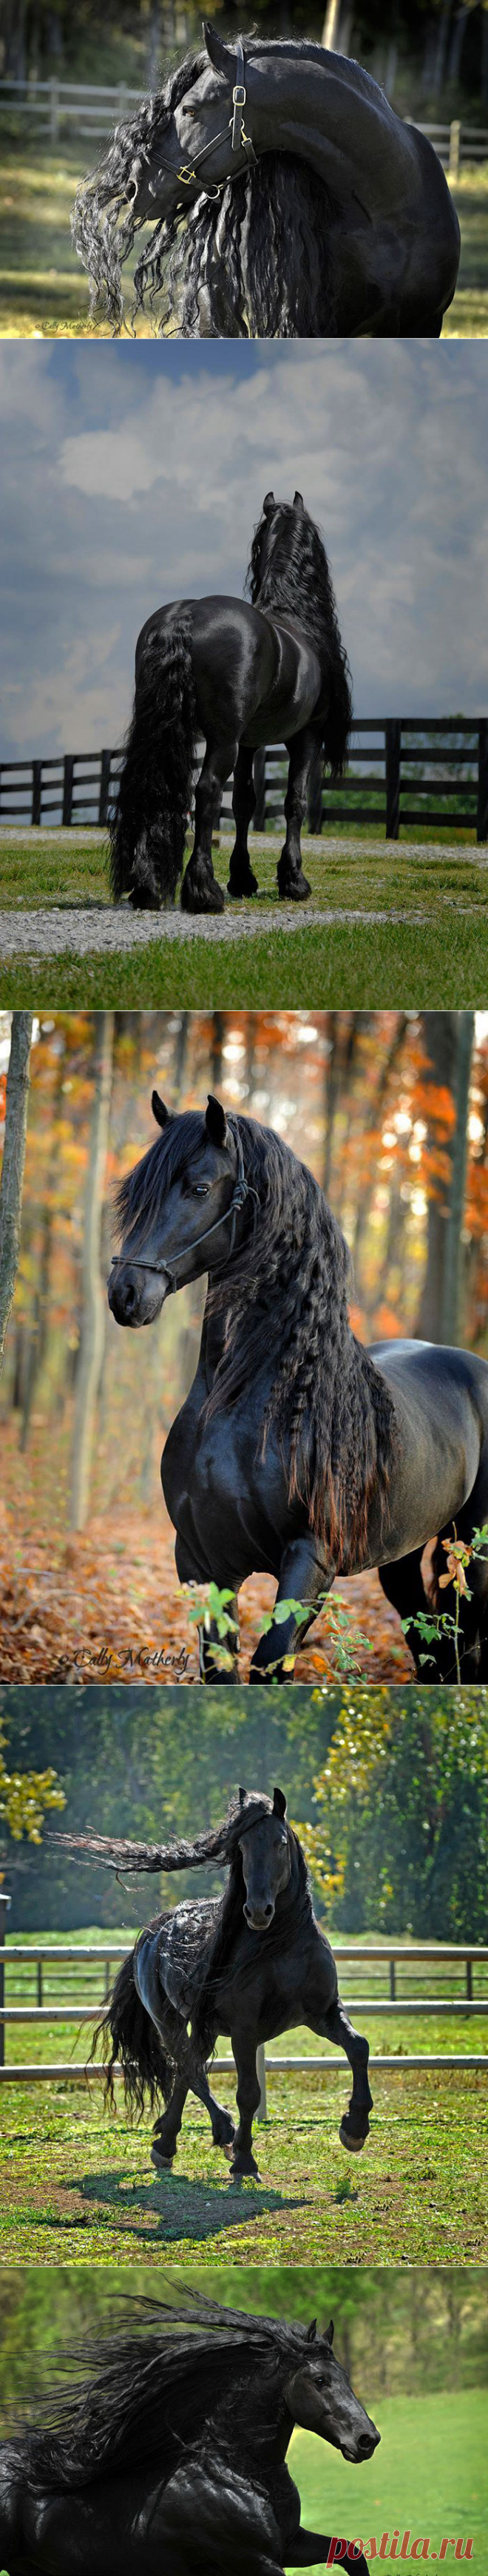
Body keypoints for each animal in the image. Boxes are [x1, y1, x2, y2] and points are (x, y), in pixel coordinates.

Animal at [0, 2285, 380, 2575]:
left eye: (345, 2375)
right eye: (320, 2380)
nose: (368, 2440)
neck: (237, 2473)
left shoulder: (290, 2544)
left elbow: (352, 2554)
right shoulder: (253, 2560)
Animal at [58, 1786, 373, 2180]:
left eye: (281, 1843)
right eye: (242, 1848)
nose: (258, 1911)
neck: (281, 1948)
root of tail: (155, 1930)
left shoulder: (323, 2013)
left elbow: (359, 2047)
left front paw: (354, 2129)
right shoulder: (244, 2030)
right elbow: (248, 2094)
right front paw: (245, 2161)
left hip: (203, 2027)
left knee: (185, 2072)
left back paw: (177, 2141)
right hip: (169, 2022)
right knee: (189, 2070)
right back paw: (203, 2137)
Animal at [106, 489, 352, 916]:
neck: (295, 618)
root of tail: (185, 616)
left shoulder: (250, 743)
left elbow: (244, 803)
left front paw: (243, 878)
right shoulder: (306, 737)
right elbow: (295, 802)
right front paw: (293, 881)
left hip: (168, 732)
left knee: (154, 788)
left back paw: (148, 889)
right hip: (223, 740)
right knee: (206, 791)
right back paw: (204, 892)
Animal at [107, 1093, 488, 1685]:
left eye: (199, 1188)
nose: (125, 1293)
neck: (244, 1403)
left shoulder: (310, 1561)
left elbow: (271, 1663)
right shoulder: (199, 1561)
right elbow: (221, 1671)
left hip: (469, 1546)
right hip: (401, 1555)